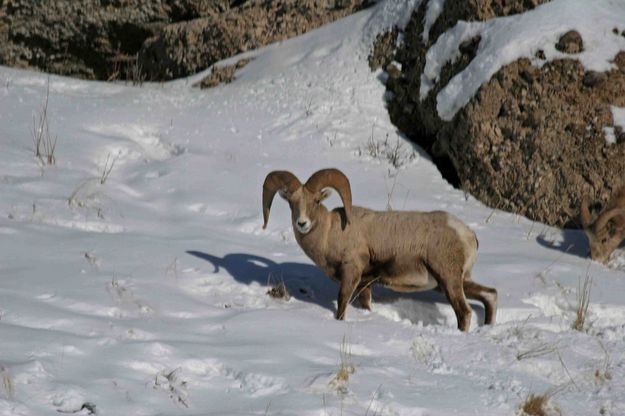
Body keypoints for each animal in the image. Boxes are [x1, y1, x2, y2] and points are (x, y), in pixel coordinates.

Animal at [262, 167, 498, 330]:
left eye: (316, 201)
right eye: (292, 202)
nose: (302, 223)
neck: (330, 233)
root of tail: (467, 234)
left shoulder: (351, 273)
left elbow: (341, 304)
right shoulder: (366, 283)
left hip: (448, 280)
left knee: (465, 312)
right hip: (456, 281)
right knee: (490, 295)